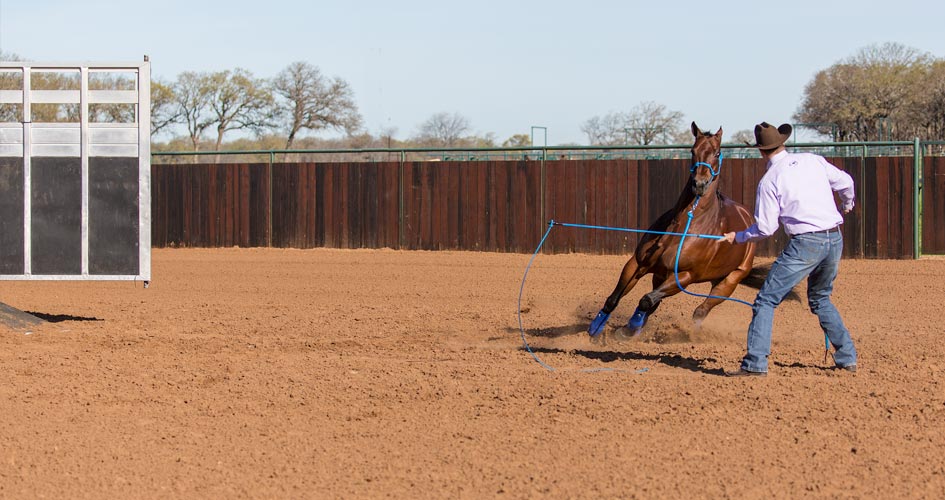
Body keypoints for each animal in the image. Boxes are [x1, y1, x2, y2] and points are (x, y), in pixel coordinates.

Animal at [588, 122, 756, 338]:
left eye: (717, 153)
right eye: (693, 150)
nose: (699, 184)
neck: (682, 227)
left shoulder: (685, 276)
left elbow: (646, 300)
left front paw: (628, 329)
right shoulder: (638, 263)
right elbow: (615, 298)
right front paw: (596, 328)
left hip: (729, 281)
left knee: (700, 310)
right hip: (666, 276)